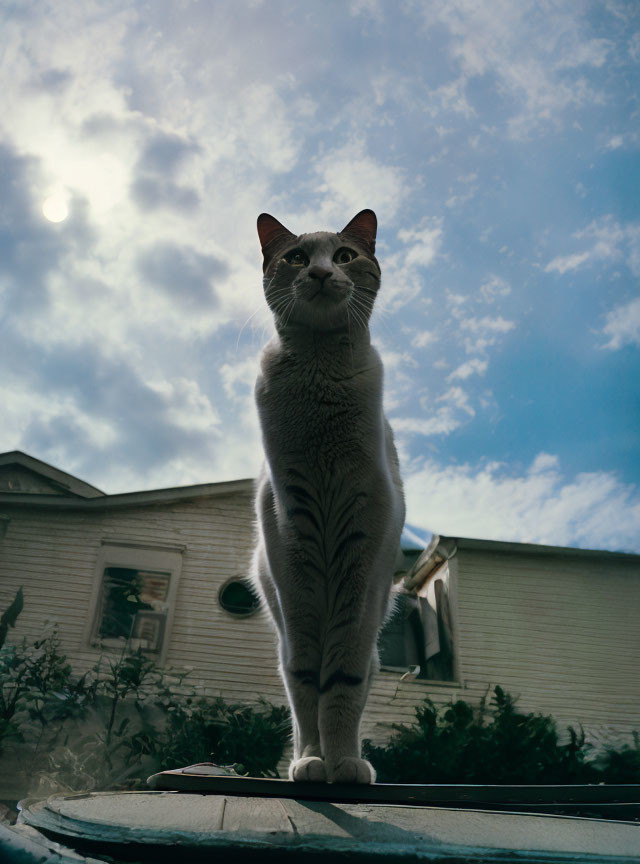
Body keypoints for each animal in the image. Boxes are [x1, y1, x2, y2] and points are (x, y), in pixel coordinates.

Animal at [251, 209, 404, 784]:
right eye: (296, 258)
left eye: (343, 256)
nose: (318, 273)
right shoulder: (294, 539)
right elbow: (308, 681)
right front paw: (314, 762)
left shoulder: (361, 556)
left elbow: (341, 681)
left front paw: (342, 764)